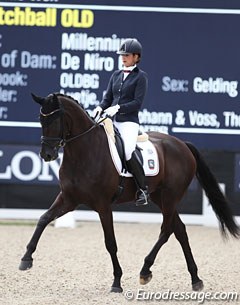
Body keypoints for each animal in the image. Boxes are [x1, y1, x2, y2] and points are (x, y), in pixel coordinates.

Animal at [19, 93, 240, 292]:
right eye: (40, 119)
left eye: (55, 119)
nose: (47, 155)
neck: (84, 152)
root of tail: (182, 144)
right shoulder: (68, 199)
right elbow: (43, 219)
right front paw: (26, 259)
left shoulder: (103, 206)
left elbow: (110, 243)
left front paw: (117, 282)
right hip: (159, 197)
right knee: (180, 230)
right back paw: (195, 279)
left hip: (170, 197)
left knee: (166, 230)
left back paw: (145, 270)